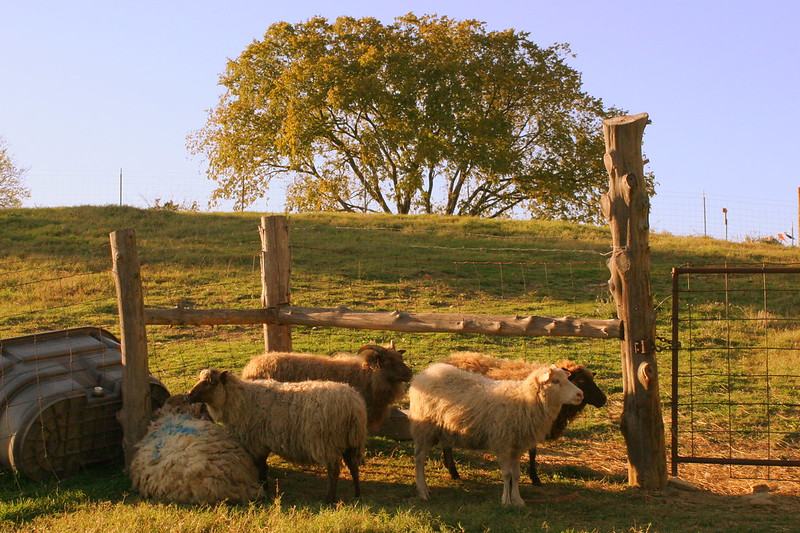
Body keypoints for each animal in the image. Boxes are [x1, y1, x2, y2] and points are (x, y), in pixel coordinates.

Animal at [188, 368, 367, 503]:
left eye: (211, 382)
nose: (189, 395)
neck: (238, 400)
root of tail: (354, 406)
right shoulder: (262, 443)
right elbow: (264, 467)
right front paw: (265, 487)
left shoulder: (256, 443)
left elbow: (261, 467)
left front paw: (264, 488)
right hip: (350, 442)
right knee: (353, 467)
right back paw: (357, 494)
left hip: (327, 443)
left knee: (334, 471)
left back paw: (329, 498)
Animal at [409, 362, 583, 506]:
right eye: (556, 381)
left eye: (566, 378)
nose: (580, 394)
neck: (525, 400)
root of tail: (424, 374)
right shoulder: (503, 443)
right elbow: (507, 474)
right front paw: (506, 501)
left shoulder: (516, 446)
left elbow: (516, 475)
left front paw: (518, 500)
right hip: (424, 429)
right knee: (419, 460)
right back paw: (423, 491)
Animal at [441, 351, 607, 485]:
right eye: (581, 381)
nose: (603, 400)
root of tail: (450, 358)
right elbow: (532, 452)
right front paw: (534, 478)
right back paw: (453, 472)